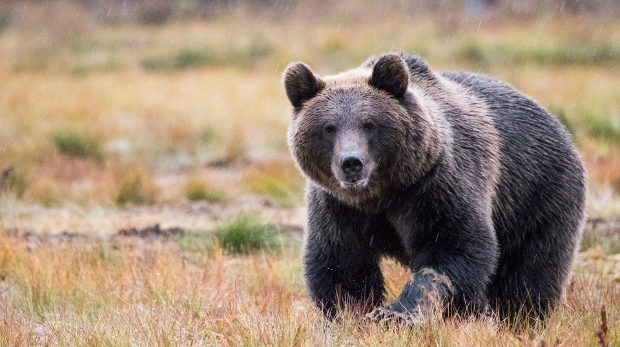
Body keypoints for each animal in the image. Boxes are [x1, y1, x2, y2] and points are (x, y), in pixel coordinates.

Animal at [284, 53, 584, 324]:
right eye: (329, 128)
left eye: (369, 124)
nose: (351, 163)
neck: (382, 195)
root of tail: (557, 124)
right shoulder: (338, 207)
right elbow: (343, 266)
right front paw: (351, 315)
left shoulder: (435, 185)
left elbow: (452, 248)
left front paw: (395, 314)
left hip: (538, 196)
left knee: (528, 275)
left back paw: (518, 318)